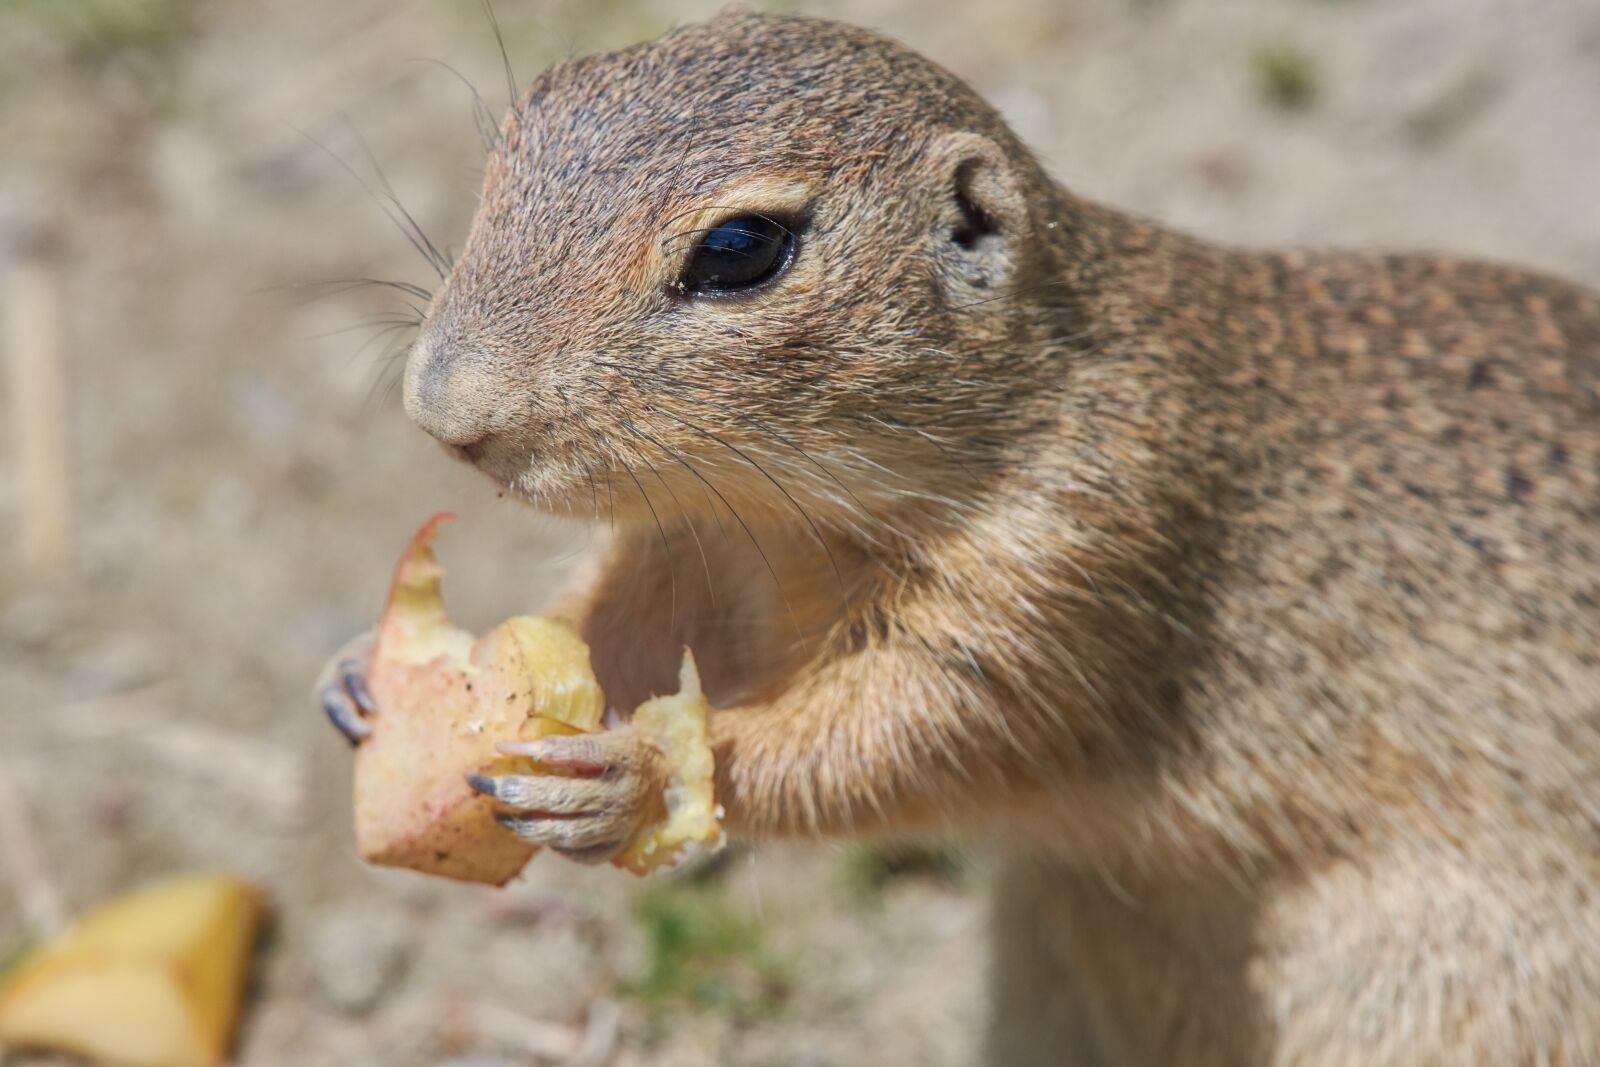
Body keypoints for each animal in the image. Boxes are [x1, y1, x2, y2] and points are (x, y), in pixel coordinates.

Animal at [318, 12, 1600, 1062]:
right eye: (514, 135)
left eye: (740, 248)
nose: (443, 414)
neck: (790, 516)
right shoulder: (690, 545)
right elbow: (612, 630)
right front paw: (369, 677)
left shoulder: (1073, 564)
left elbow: (894, 736)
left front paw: (634, 776)